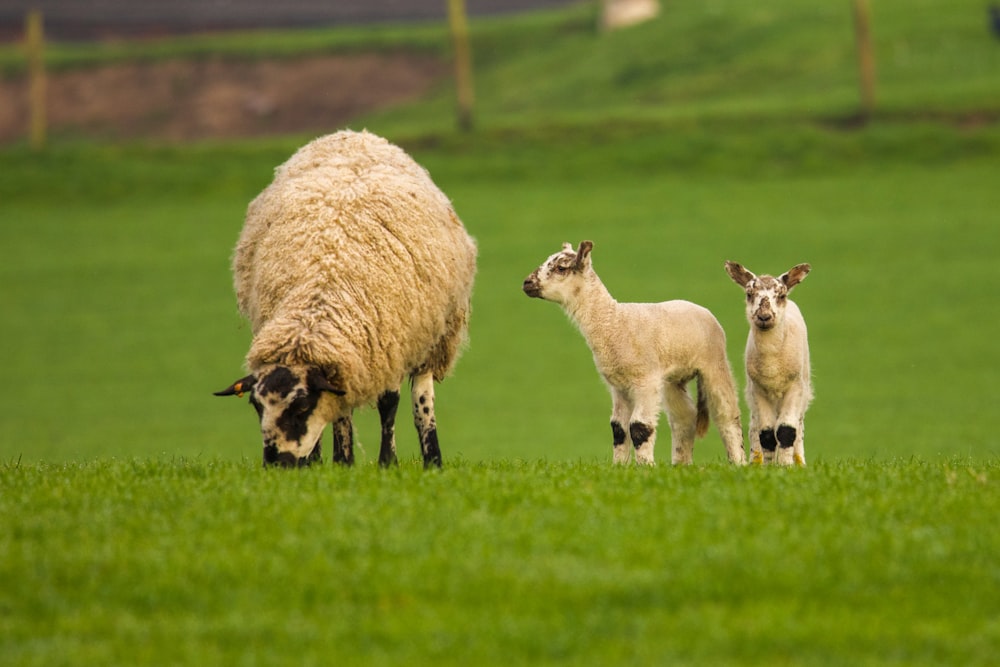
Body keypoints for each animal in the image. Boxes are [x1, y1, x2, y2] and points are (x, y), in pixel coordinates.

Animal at [214, 130, 476, 470]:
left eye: (302, 406)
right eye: (257, 407)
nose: (277, 464)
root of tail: (353, 135)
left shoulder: (389, 344)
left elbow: (389, 403)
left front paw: (387, 462)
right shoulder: (348, 355)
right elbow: (341, 410)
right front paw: (340, 463)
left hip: (430, 339)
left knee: (422, 400)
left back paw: (432, 460)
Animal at [524, 243, 744, 468]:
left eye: (561, 268)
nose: (527, 283)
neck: (614, 323)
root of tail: (701, 309)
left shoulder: (645, 379)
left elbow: (639, 427)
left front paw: (645, 466)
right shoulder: (618, 385)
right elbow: (618, 429)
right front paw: (619, 466)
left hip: (715, 362)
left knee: (727, 415)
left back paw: (739, 462)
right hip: (673, 379)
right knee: (684, 418)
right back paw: (680, 464)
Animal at [728, 258, 812, 468]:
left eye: (781, 295)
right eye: (749, 294)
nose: (764, 316)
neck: (772, 365)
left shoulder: (795, 387)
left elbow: (786, 430)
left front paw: (785, 465)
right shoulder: (759, 389)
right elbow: (766, 434)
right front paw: (767, 467)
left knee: (799, 427)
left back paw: (799, 461)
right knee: (754, 427)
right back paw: (755, 459)